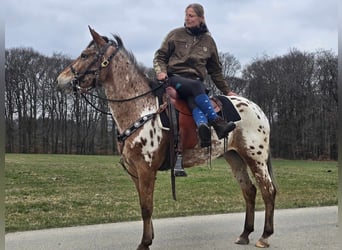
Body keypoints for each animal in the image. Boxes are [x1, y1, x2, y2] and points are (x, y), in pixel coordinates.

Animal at [56, 26, 278, 249]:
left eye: (85, 55)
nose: (61, 79)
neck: (142, 109)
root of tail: (258, 109)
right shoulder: (135, 171)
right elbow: (143, 204)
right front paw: (149, 238)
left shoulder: (146, 169)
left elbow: (146, 206)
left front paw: (144, 242)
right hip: (235, 157)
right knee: (249, 191)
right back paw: (245, 233)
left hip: (255, 158)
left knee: (268, 190)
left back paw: (264, 236)